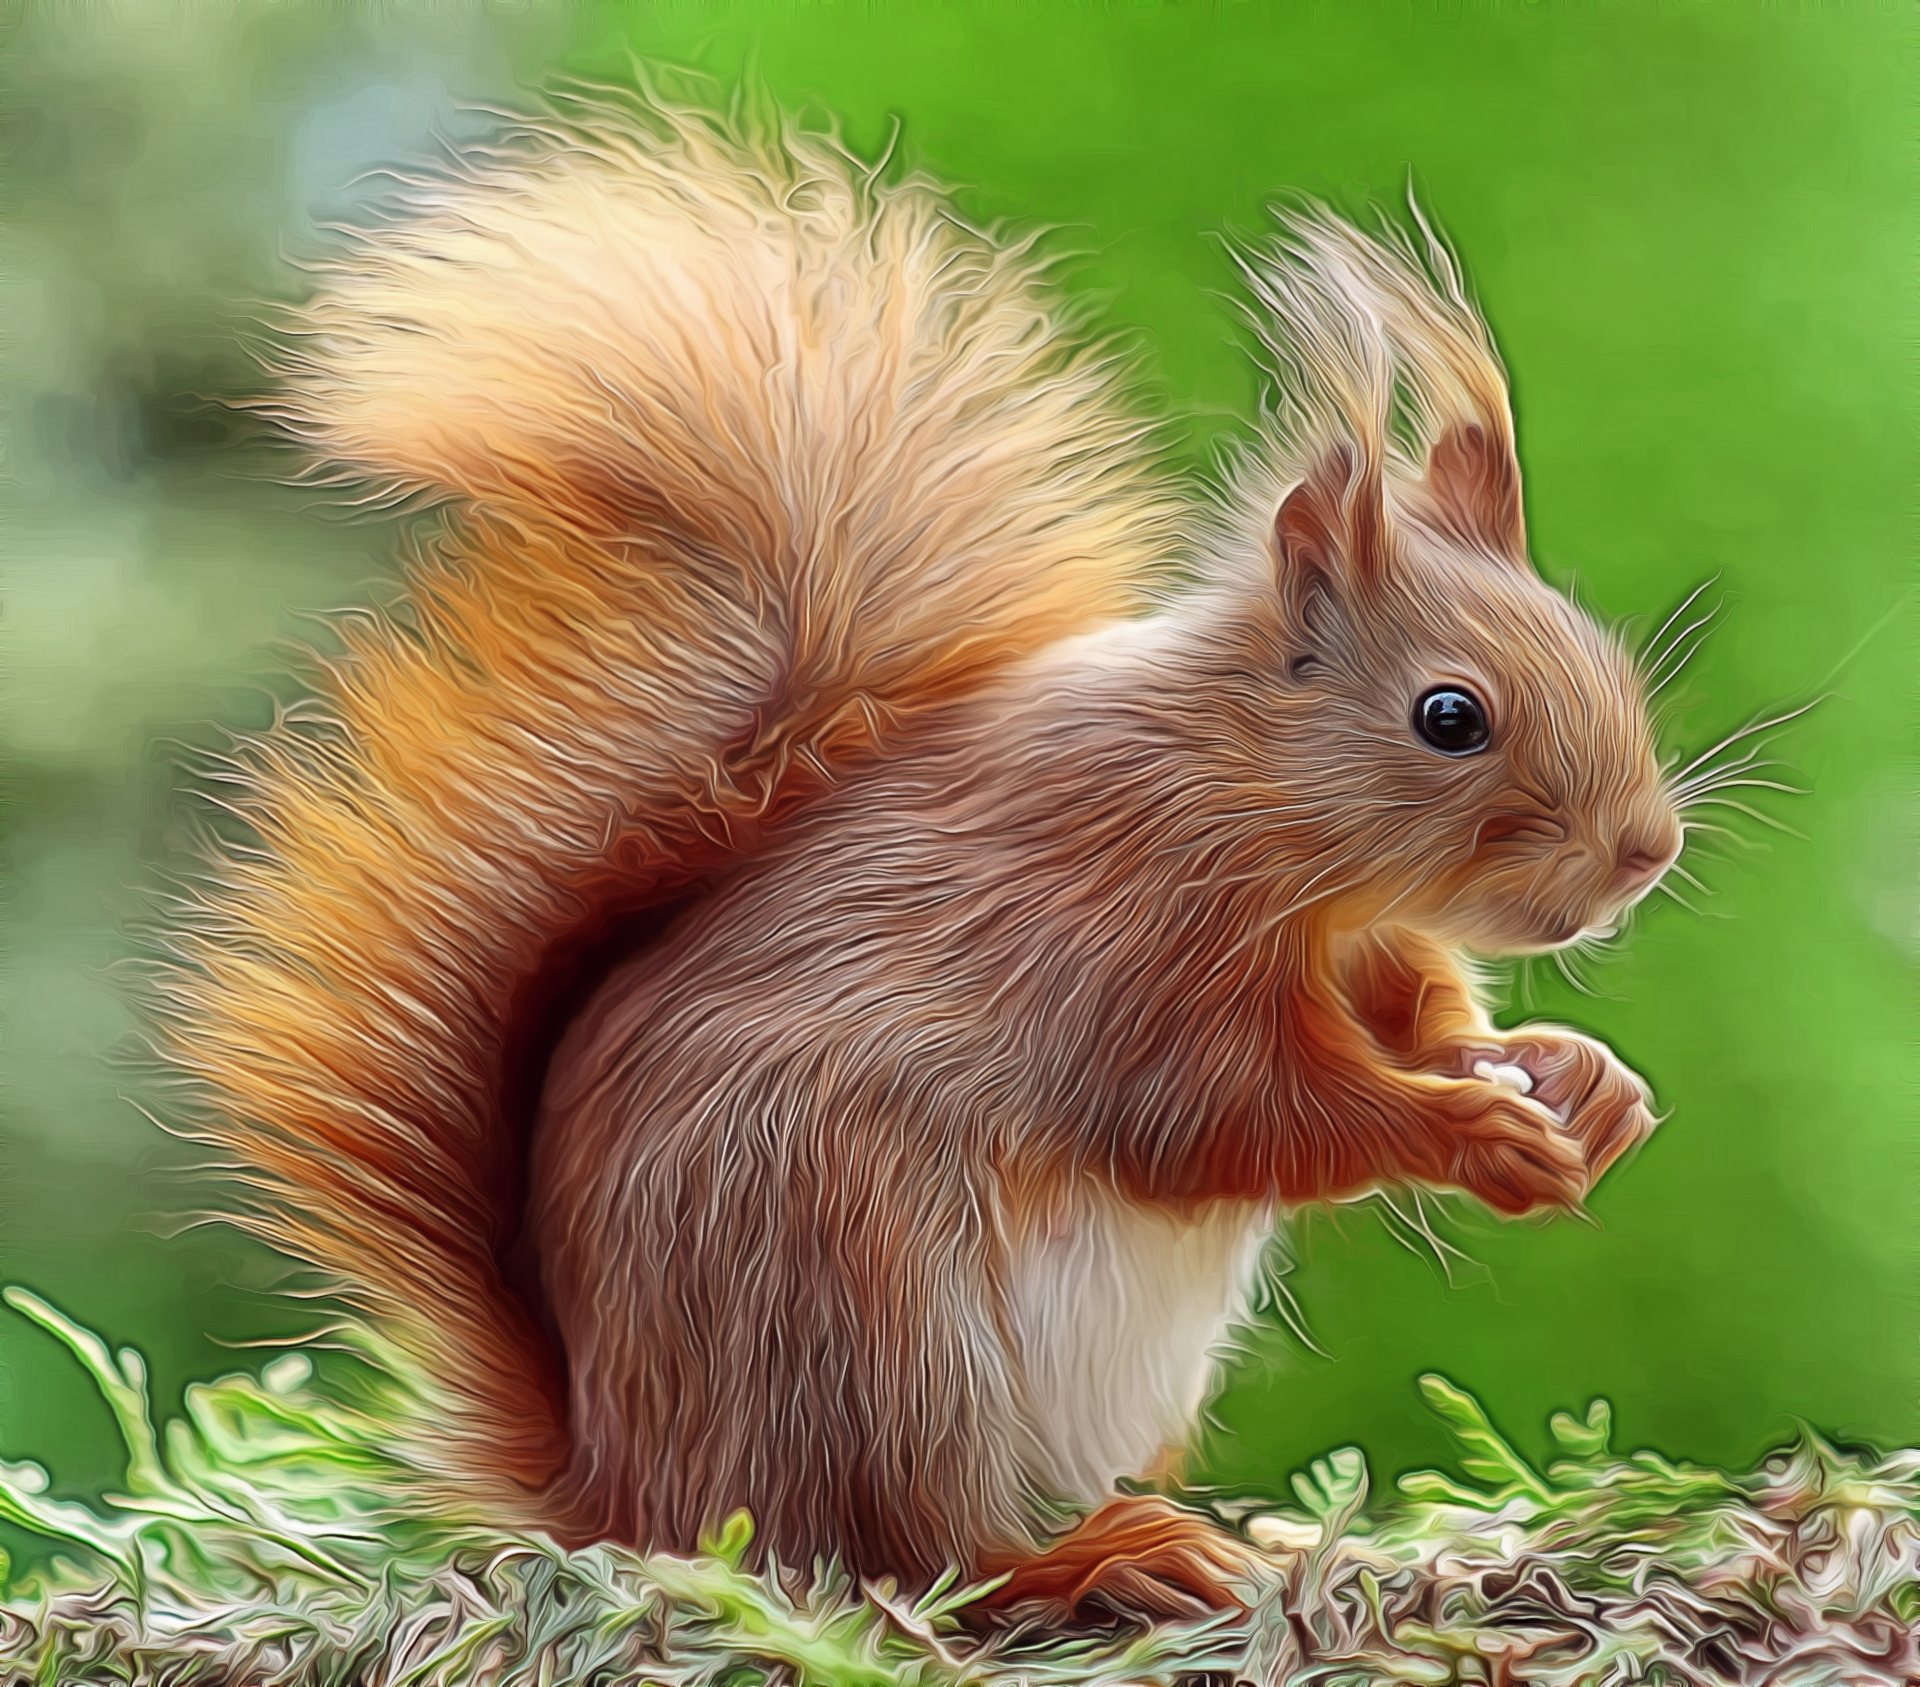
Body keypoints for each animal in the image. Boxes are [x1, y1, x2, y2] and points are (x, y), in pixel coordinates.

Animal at [162, 92, 1683, 1618]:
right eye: (1450, 716)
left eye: (1601, 650)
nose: (1646, 852)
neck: (1269, 825)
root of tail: (628, 1487)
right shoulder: (1120, 937)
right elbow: (1226, 1114)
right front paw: (1471, 1128)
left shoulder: (1368, 938)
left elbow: (1420, 1012)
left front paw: (1571, 1079)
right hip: (869, 1302)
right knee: (903, 1548)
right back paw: (1094, 1557)